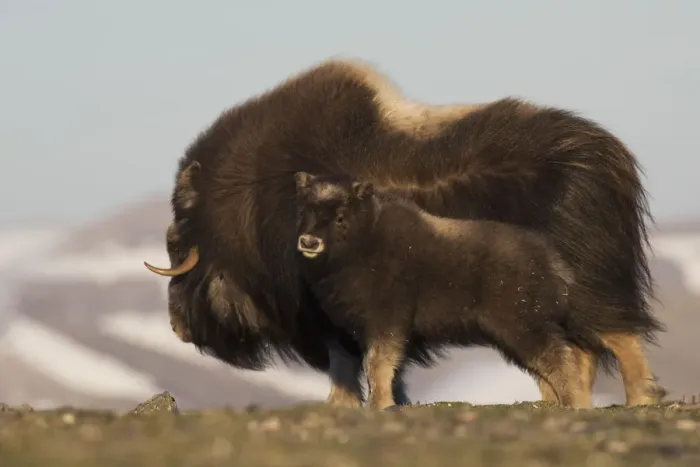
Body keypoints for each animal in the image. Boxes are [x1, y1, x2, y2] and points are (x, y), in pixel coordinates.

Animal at [143, 57, 665, 408]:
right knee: (579, 353)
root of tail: (608, 156)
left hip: (582, 287)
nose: (177, 326)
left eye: (178, 243)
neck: (248, 195)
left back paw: (639, 400)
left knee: (617, 336)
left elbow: (348, 363)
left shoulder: (333, 317)